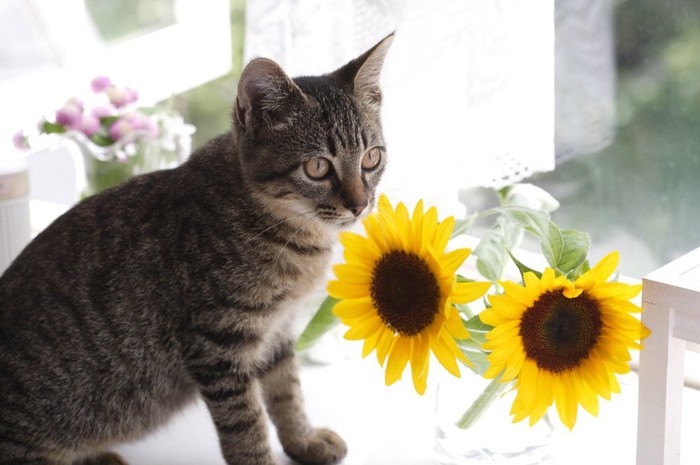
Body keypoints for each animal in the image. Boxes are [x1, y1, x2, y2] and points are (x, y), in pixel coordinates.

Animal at [0, 33, 394, 464]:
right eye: (318, 168)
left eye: (372, 158)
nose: (360, 205)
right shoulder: (217, 343)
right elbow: (246, 427)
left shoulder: (277, 331)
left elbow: (287, 393)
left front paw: (303, 440)